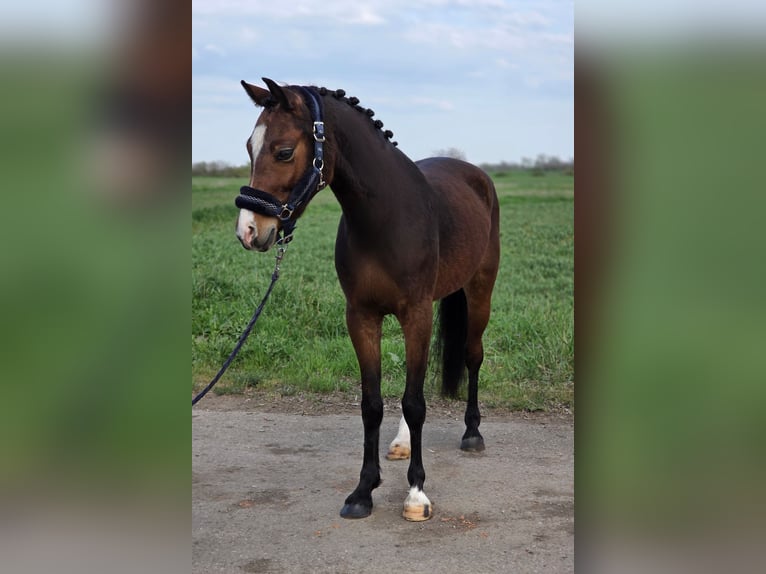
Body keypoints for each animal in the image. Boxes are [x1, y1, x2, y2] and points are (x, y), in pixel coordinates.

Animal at [234, 78, 500, 521]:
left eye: (284, 151)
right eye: (249, 147)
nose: (249, 231)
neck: (384, 219)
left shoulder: (416, 314)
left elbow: (414, 402)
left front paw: (416, 493)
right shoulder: (362, 317)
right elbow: (373, 404)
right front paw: (363, 491)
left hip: (479, 291)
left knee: (472, 356)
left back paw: (473, 432)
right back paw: (404, 442)